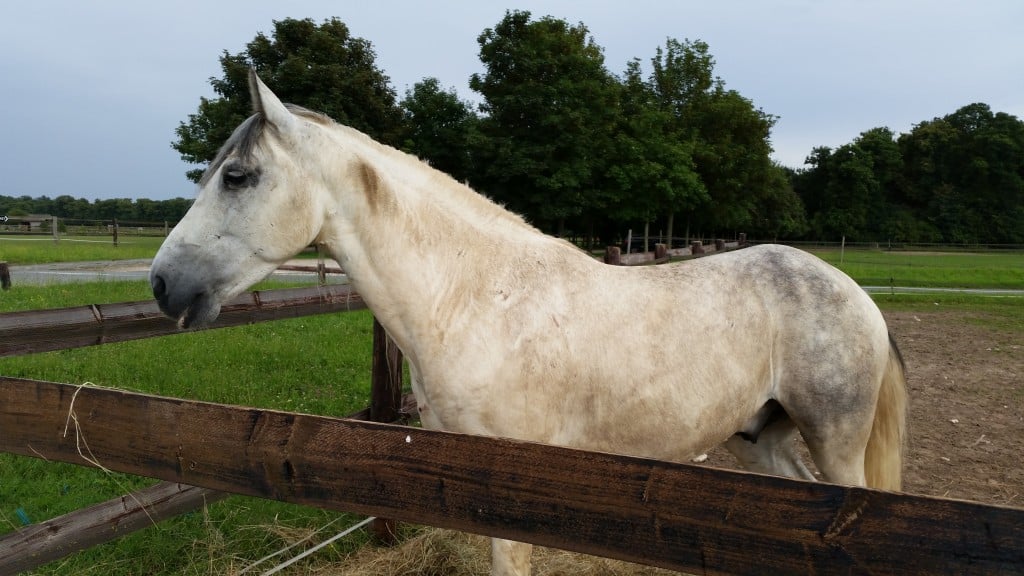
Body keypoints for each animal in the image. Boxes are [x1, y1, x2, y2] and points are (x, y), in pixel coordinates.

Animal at [151, 72, 905, 573]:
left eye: (238, 176)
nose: (161, 284)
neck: (477, 299)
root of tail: (854, 294)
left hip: (835, 440)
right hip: (758, 437)